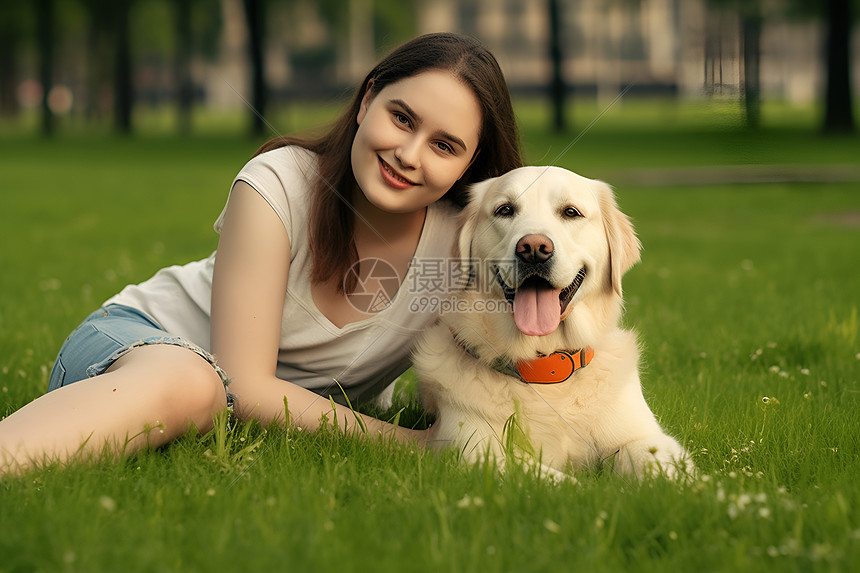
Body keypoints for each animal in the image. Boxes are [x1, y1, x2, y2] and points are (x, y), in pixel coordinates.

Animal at [414, 168, 696, 480]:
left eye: (570, 212)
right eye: (505, 210)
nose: (534, 248)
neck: (546, 368)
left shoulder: (643, 437)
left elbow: (668, 467)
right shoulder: (476, 452)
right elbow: (560, 482)